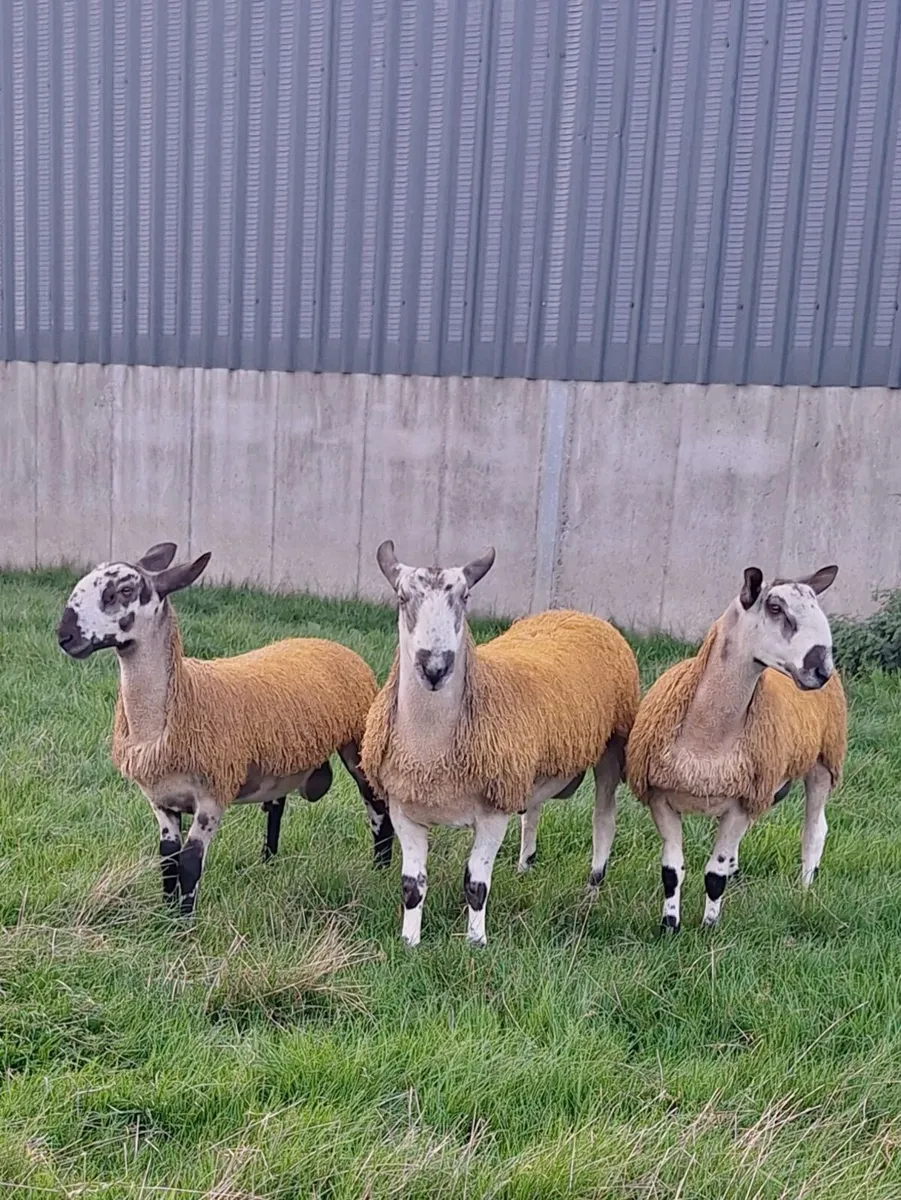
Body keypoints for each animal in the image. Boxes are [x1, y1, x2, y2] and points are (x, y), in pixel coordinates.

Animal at [56, 541, 394, 916]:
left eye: (124, 591)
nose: (64, 635)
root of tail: (329, 643)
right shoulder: (160, 801)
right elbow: (167, 860)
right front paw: (166, 913)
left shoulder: (212, 795)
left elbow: (190, 863)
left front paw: (184, 922)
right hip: (280, 755)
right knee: (276, 805)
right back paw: (267, 862)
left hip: (358, 739)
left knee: (376, 805)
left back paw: (380, 869)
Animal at [360, 540, 641, 947]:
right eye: (401, 597)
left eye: (465, 597)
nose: (436, 667)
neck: (432, 748)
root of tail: (575, 614)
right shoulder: (404, 809)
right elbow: (412, 885)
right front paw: (409, 942)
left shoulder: (492, 814)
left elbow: (476, 885)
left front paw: (476, 942)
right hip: (525, 768)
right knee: (533, 811)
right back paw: (526, 865)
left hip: (612, 745)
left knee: (603, 819)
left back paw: (592, 890)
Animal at [626, 564, 847, 932]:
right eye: (775, 608)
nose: (820, 670)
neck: (708, 737)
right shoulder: (660, 798)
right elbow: (671, 871)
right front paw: (669, 926)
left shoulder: (743, 803)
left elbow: (714, 876)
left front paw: (708, 927)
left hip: (823, 761)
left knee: (814, 831)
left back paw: (804, 890)